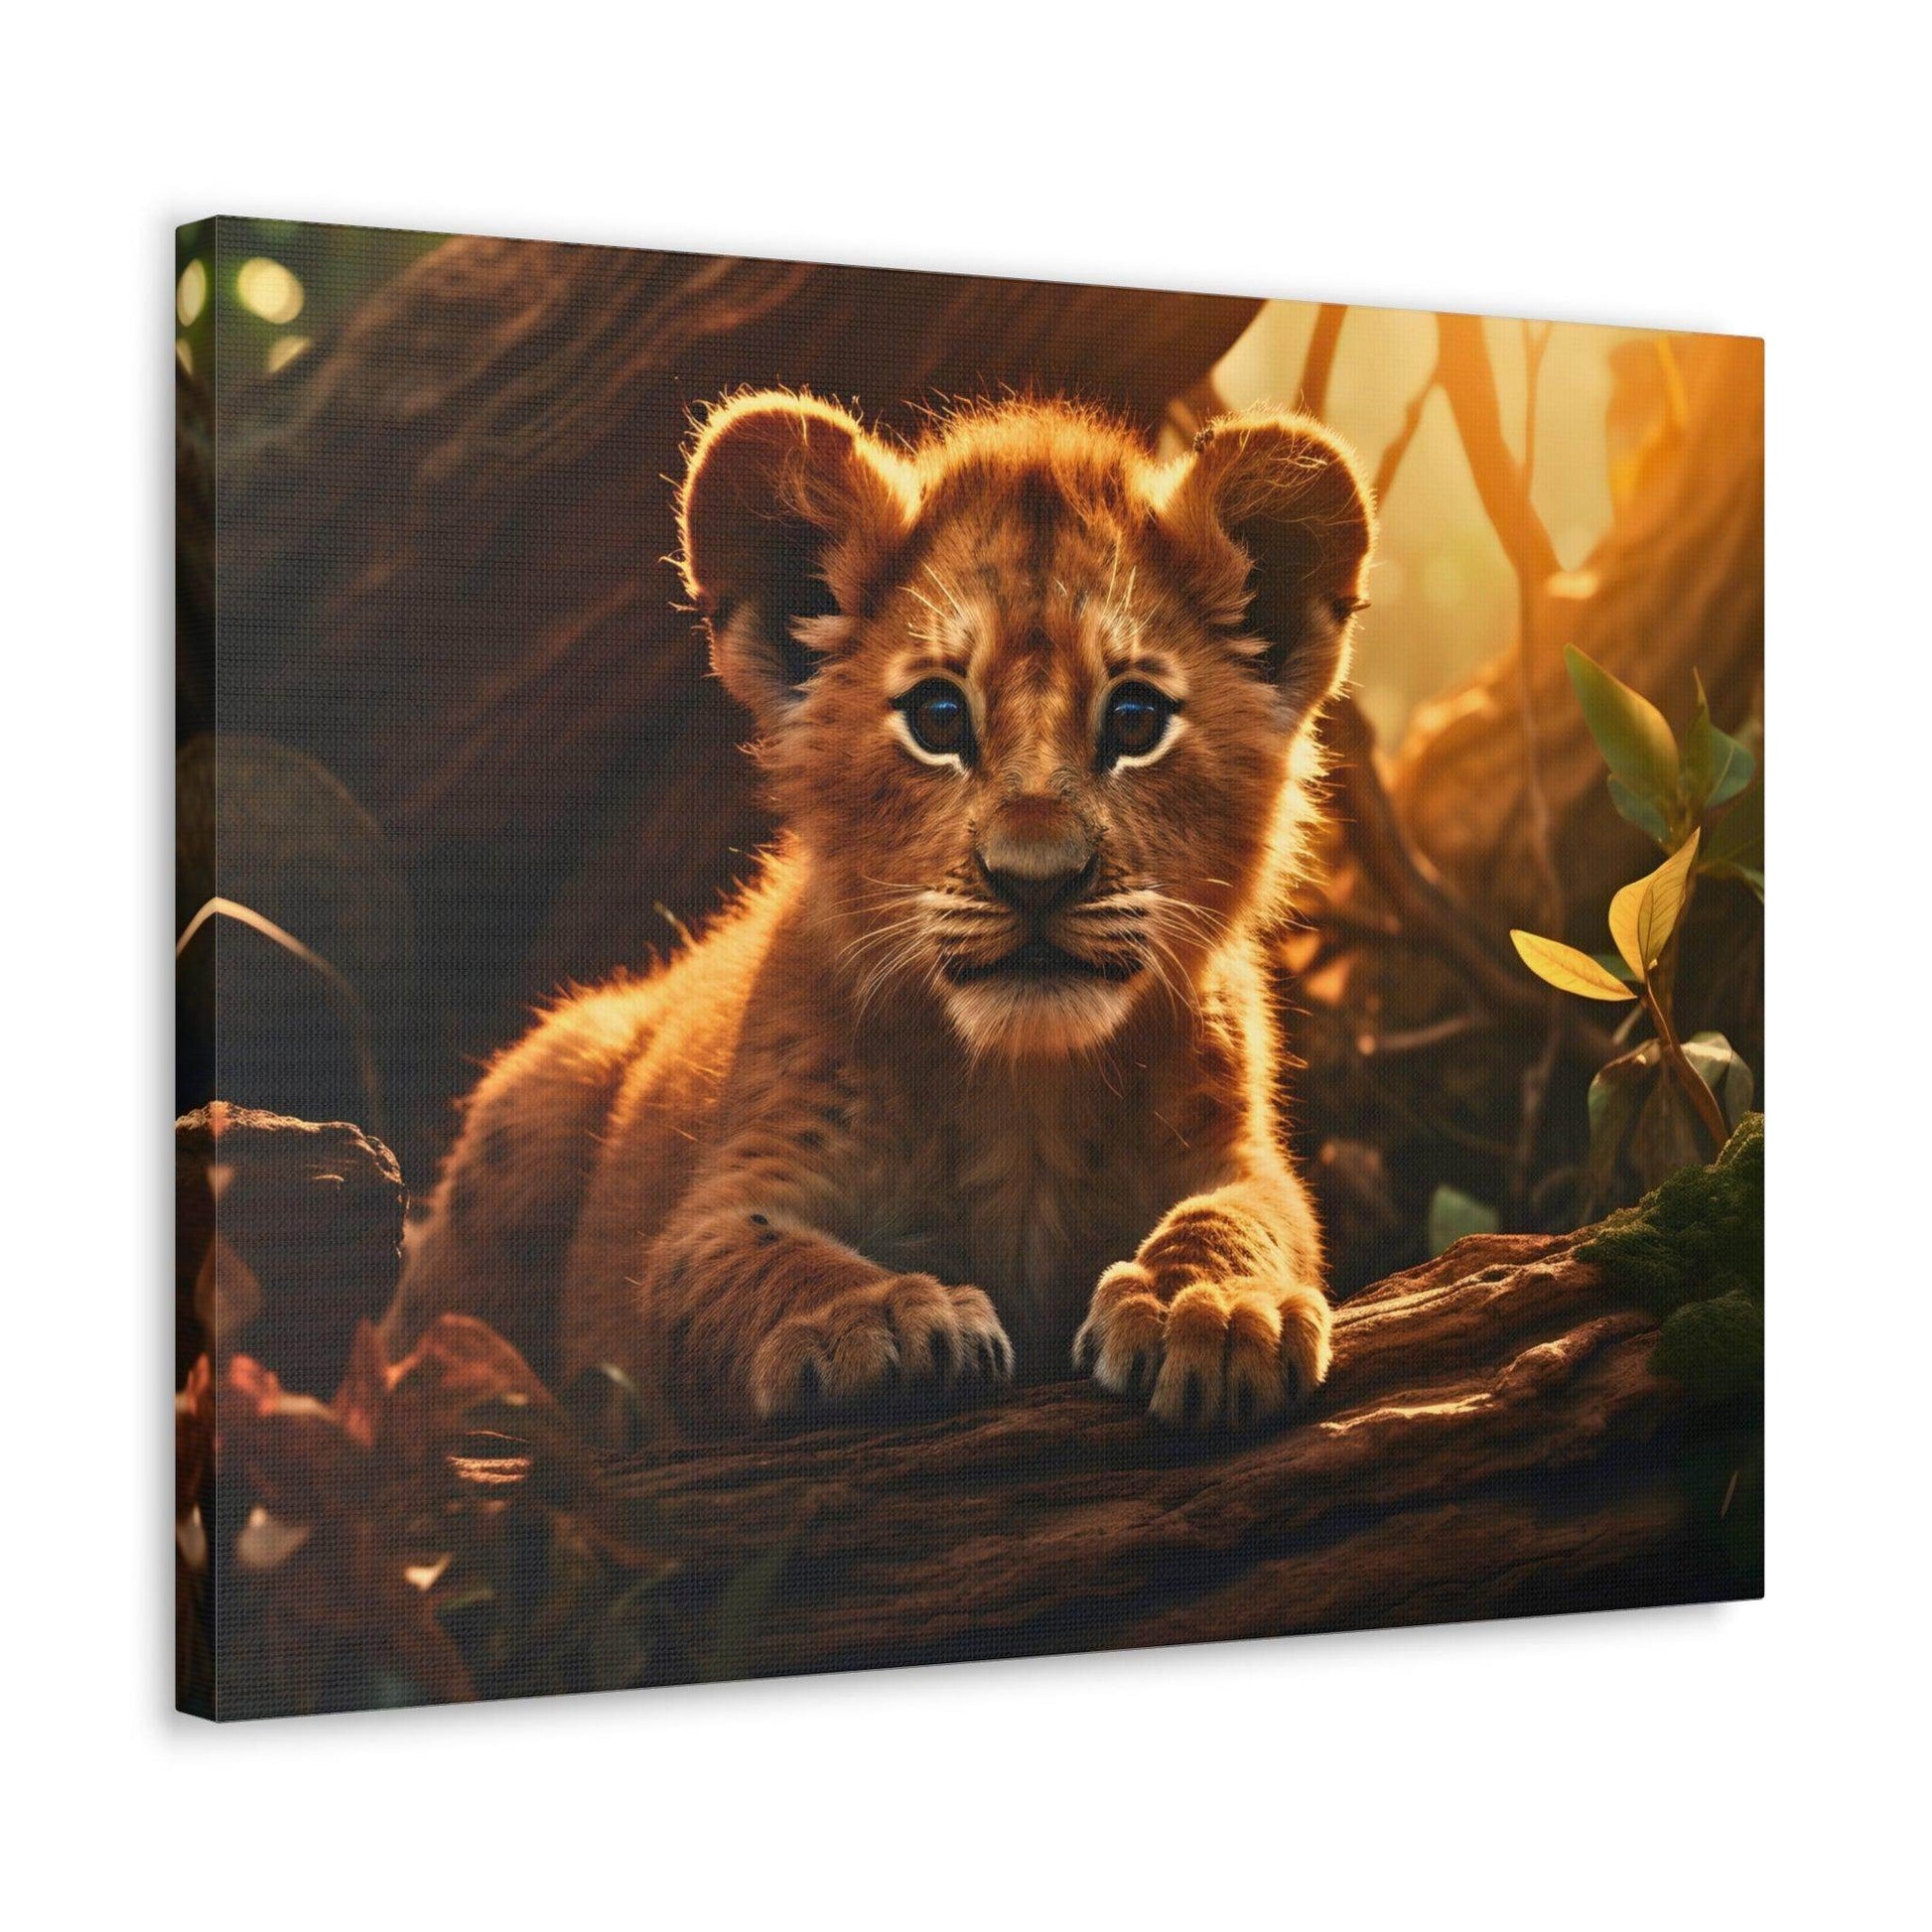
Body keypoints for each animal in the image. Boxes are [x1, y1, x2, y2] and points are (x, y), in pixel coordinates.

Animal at [382, 389, 1375, 1437]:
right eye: (938, 718)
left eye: (1135, 720)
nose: (1036, 878)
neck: (1024, 1093)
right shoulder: (722, 1201)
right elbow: (767, 1260)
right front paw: (881, 1318)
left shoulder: (1238, 1154)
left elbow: (1243, 1217)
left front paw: (1214, 1306)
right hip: (540, 1089)